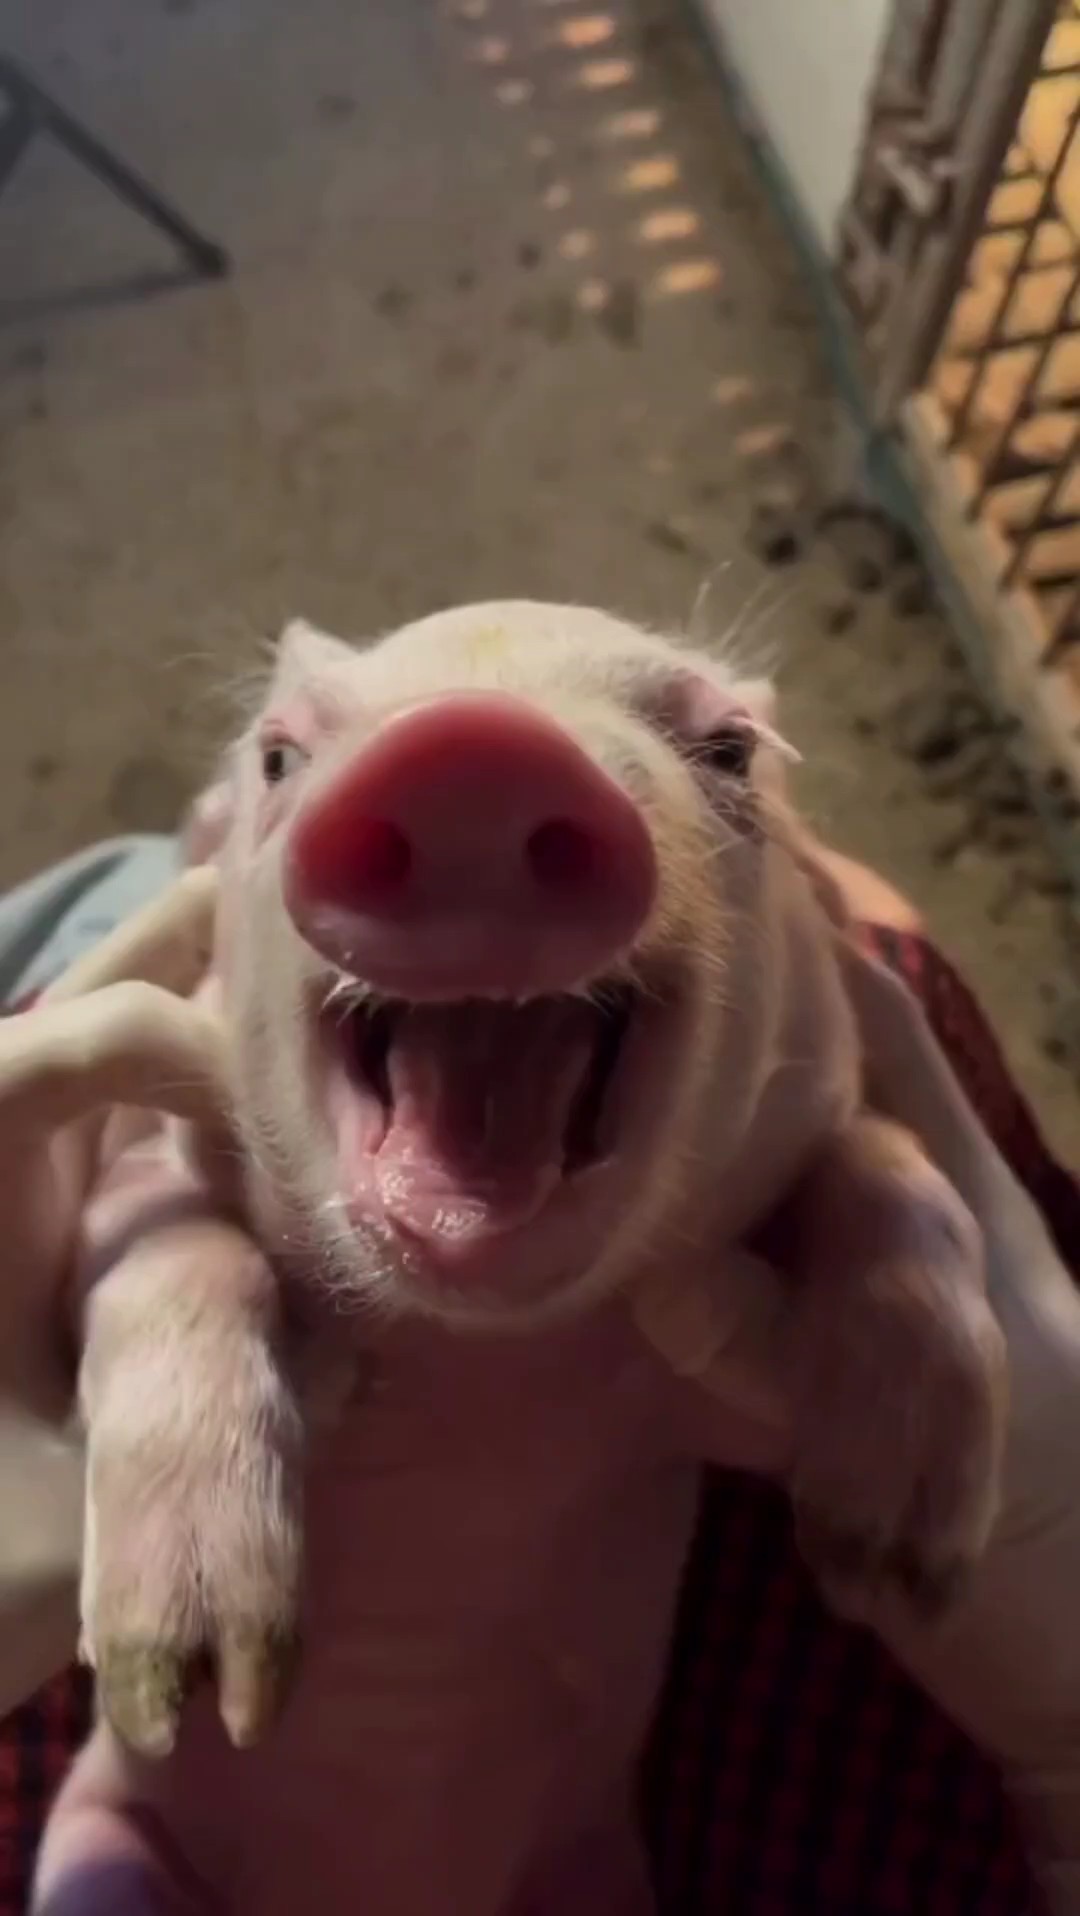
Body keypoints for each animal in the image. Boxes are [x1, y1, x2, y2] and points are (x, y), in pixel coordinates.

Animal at [34, 602, 1006, 1916]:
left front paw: (895, 1568)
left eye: (731, 750)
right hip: (101, 1843)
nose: (474, 746)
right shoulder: (138, 1150)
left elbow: (893, 1166)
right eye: (279, 756)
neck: (487, 1356)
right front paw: (192, 1684)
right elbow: (169, 1249)